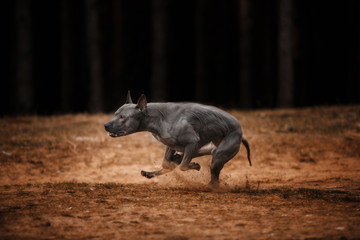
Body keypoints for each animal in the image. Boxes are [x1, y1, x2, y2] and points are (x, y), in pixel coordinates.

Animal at [104, 91, 250, 187]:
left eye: (122, 117)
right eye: (115, 114)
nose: (106, 125)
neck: (157, 118)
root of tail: (241, 135)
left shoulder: (192, 142)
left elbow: (182, 167)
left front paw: (195, 166)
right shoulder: (171, 145)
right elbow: (167, 164)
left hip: (217, 156)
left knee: (214, 179)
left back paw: (209, 186)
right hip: (199, 151)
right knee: (174, 164)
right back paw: (149, 173)